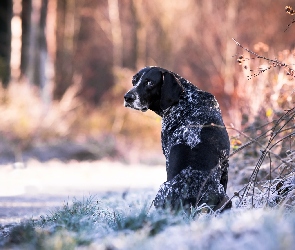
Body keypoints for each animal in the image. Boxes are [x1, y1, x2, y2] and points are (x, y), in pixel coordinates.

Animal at [123, 67, 232, 211]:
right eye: (134, 81)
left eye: (149, 82)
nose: (127, 97)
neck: (185, 100)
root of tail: (191, 201)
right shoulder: (225, 166)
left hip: (162, 189)